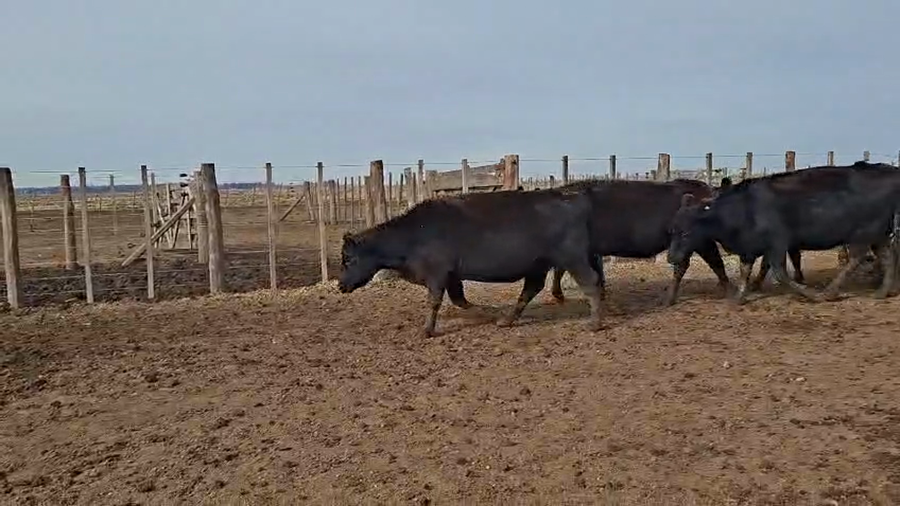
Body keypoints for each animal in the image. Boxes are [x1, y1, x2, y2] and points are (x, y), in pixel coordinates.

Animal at [338, 187, 606, 337]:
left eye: (348, 259)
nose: (340, 285)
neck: (413, 235)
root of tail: (573, 199)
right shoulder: (452, 276)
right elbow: (460, 300)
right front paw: (486, 312)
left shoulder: (437, 274)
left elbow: (434, 302)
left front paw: (427, 330)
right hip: (539, 264)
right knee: (531, 289)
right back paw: (506, 320)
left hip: (572, 257)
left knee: (591, 281)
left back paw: (595, 323)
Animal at [667, 162, 900, 304]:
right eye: (673, 230)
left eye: (686, 233)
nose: (671, 258)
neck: (745, 207)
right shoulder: (750, 247)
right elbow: (745, 270)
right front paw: (739, 297)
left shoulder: (777, 243)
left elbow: (780, 272)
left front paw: (809, 293)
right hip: (878, 235)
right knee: (888, 257)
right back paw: (882, 292)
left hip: (863, 233)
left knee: (856, 258)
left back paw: (829, 292)